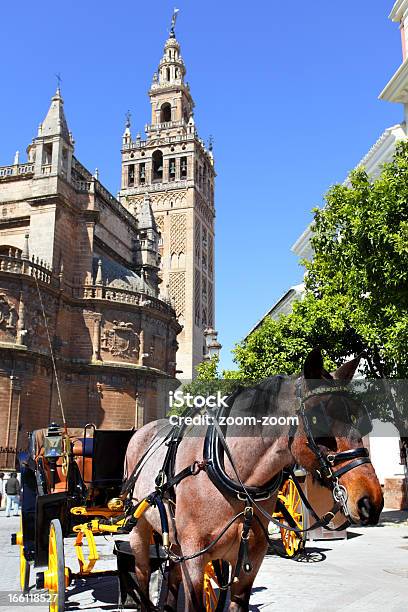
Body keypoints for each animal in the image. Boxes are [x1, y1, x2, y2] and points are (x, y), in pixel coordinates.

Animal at [123, 350, 382, 612]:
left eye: (359, 421)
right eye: (318, 420)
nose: (370, 501)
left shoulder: (250, 561)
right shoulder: (194, 556)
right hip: (140, 529)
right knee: (142, 573)